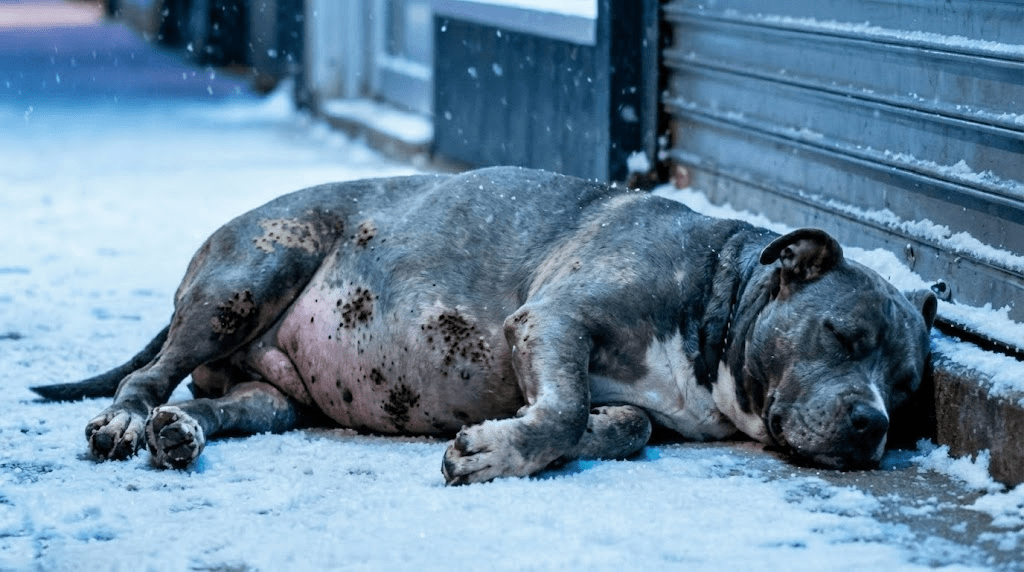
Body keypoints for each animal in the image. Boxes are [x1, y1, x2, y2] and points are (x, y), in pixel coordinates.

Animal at [33, 167, 937, 484]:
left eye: (905, 388)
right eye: (843, 337)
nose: (873, 424)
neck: (717, 296)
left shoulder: (624, 389)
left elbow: (624, 426)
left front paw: (513, 441)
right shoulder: (555, 317)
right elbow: (566, 411)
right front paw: (499, 453)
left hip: (271, 393)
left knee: (223, 404)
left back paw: (182, 432)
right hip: (251, 277)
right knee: (147, 375)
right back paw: (130, 420)